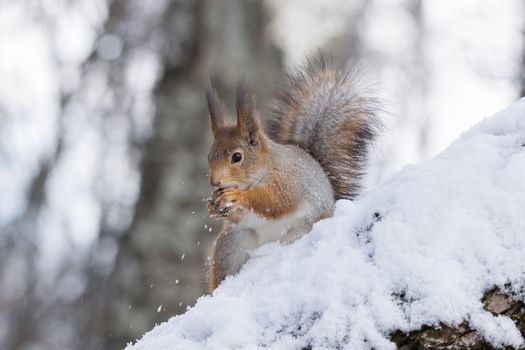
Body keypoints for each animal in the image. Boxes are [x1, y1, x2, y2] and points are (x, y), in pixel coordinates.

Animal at [205, 54, 380, 290]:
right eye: (210, 155)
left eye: (236, 157)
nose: (215, 182)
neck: (265, 167)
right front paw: (213, 206)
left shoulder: (287, 180)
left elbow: (275, 202)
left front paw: (238, 196)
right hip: (232, 245)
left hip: (300, 232)